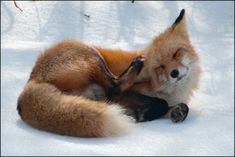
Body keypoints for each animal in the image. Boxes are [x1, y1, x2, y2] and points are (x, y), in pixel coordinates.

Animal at [17, 9, 200, 137]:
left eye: (176, 54)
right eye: (160, 67)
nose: (174, 73)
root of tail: (32, 79)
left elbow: (178, 106)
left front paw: (176, 111)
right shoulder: (124, 96)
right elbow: (160, 103)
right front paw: (146, 113)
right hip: (92, 56)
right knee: (114, 85)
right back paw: (135, 67)